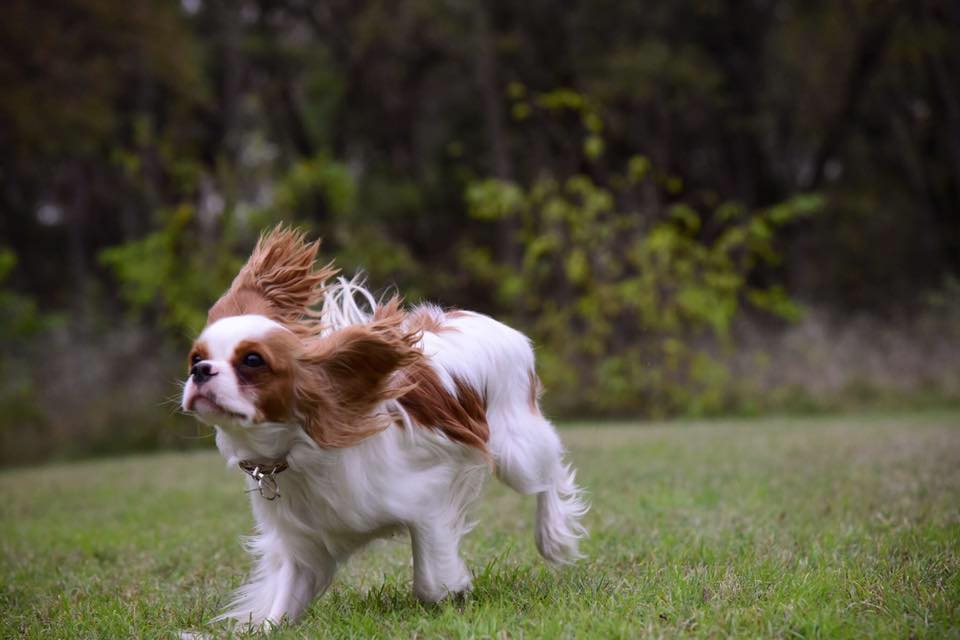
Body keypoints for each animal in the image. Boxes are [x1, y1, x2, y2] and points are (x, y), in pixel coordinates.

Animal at [179, 228, 584, 628]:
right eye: (195, 357)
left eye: (252, 361)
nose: (200, 371)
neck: (299, 446)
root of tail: (483, 319)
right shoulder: (303, 542)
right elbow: (280, 602)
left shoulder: (430, 501)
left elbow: (431, 580)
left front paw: (455, 591)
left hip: (517, 451)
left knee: (550, 471)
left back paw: (552, 535)